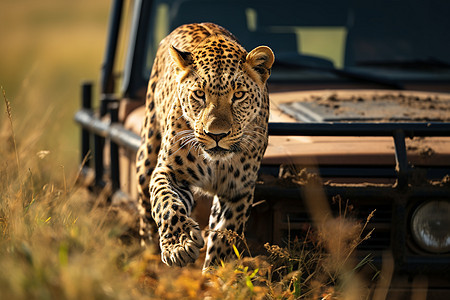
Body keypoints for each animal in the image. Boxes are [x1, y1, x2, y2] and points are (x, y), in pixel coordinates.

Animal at [134, 22, 274, 270]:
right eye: (199, 94)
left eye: (239, 95)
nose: (217, 134)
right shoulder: (168, 171)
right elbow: (165, 203)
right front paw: (179, 245)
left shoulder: (237, 191)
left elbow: (224, 238)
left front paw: (215, 275)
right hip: (146, 156)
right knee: (144, 210)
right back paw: (150, 258)